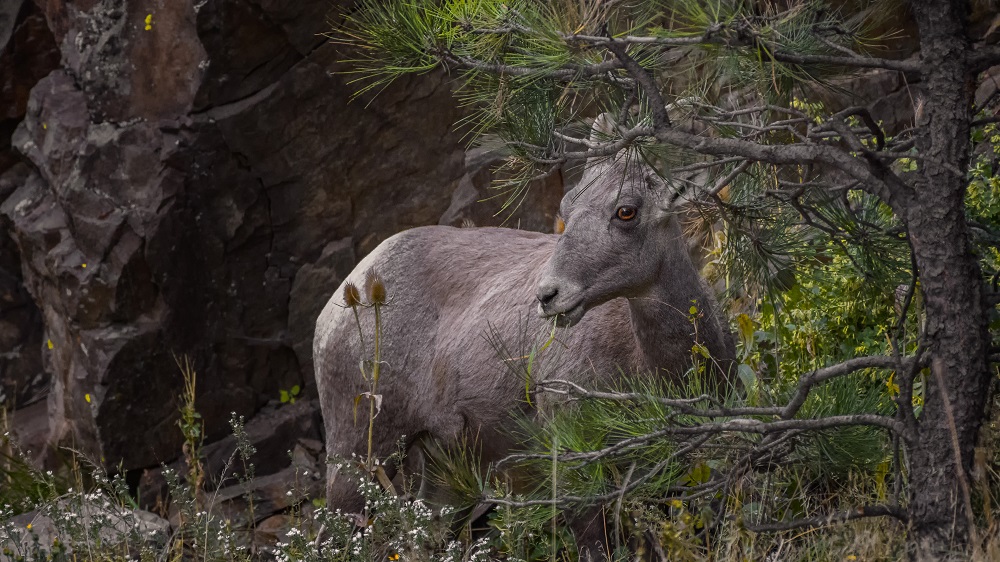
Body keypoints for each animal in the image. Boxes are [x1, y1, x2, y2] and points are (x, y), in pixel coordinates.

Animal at [312, 152, 736, 512]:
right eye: (566, 209)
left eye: (626, 211)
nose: (548, 295)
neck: (656, 368)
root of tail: (349, 293)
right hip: (360, 457)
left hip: (446, 475)